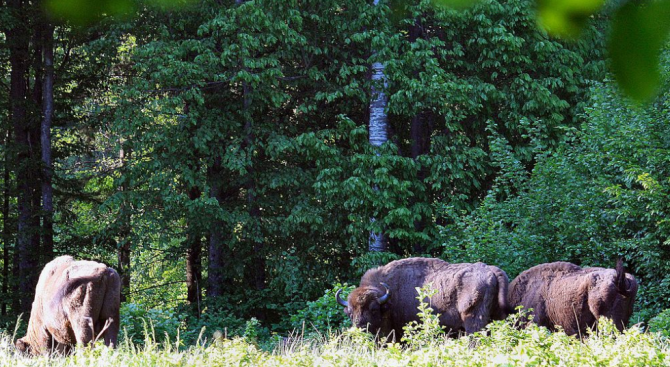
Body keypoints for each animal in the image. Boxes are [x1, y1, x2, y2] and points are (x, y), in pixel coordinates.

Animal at [336, 258, 510, 340]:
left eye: (373, 309)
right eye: (350, 312)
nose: (359, 327)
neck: (389, 296)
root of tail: (491, 270)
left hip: (473, 320)